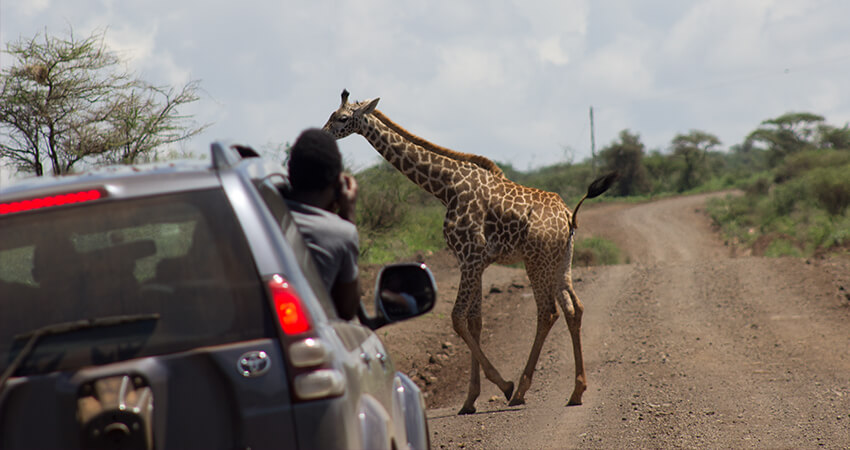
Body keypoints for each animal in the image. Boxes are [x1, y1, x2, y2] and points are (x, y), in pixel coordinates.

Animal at [322, 89, 612, 414]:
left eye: (342, 118)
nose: (322, 134)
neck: (444, 186)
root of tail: (567, 215)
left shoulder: (470, 257)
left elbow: (457, 318)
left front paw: (503, 384)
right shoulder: (475, 261)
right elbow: (475, 322)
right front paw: (470, 399)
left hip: (536, 261)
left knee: (548, 311)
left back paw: (521, 390)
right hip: (562, 261)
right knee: (575, 308)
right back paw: (577, 390)